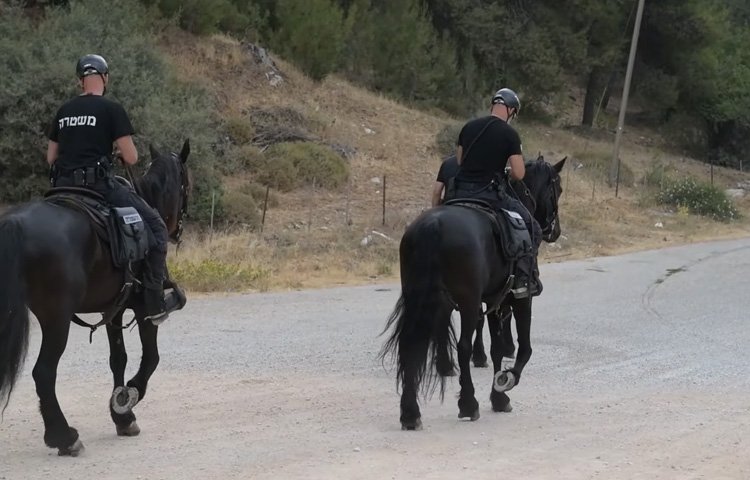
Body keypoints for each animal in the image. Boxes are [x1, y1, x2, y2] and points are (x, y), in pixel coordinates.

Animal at [0, 140, 191, 458]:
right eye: (186, 181)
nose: (176, 230)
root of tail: (16, 224)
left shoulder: (113, 310)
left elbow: (118, 359)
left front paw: (122, 417)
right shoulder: (143, 309)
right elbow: (151, 358)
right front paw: (129, 397)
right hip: (57, 319)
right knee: (44, 373)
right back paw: (64, 437)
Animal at [382, 158, 564, 432]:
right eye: (558, 189)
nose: (555, 230)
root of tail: (433, 226)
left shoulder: (494, 299)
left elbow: (497, 348)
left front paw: (498, 398)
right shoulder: (518, 299)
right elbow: (523, 348)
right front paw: (505, 382)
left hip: (421, 298)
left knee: (411, 344)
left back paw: (411, 412)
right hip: (467, 300)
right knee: (463, 346)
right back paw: (468, 403)